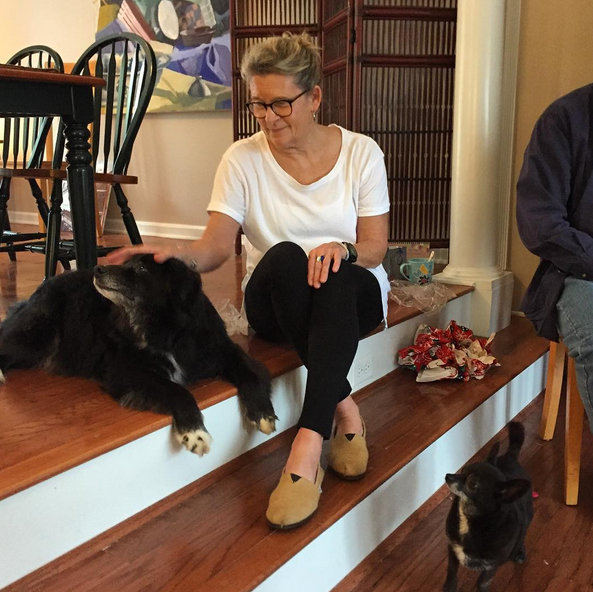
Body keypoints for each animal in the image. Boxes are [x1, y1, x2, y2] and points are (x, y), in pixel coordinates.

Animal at [0, 253, 276, 454]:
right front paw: (194, 432)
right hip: (35, 335)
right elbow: (178, 391)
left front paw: (263, 412)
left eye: (142, 269)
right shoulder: (126, 372)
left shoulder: (222, 349)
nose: (98, 269)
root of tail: (45, 283)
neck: (166, 328)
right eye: (125, 263)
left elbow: (250, 374)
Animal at [440, 420, 532, 592]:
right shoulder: (452, 550)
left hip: (527, 517)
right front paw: (449, 587)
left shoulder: (491, 567)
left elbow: (482, 583)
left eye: (472, 483)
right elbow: (451, 571)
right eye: (464, 469)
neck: (470, 519)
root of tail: (510, 457)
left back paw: (519, 552)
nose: (448, 476)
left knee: (522, 534)